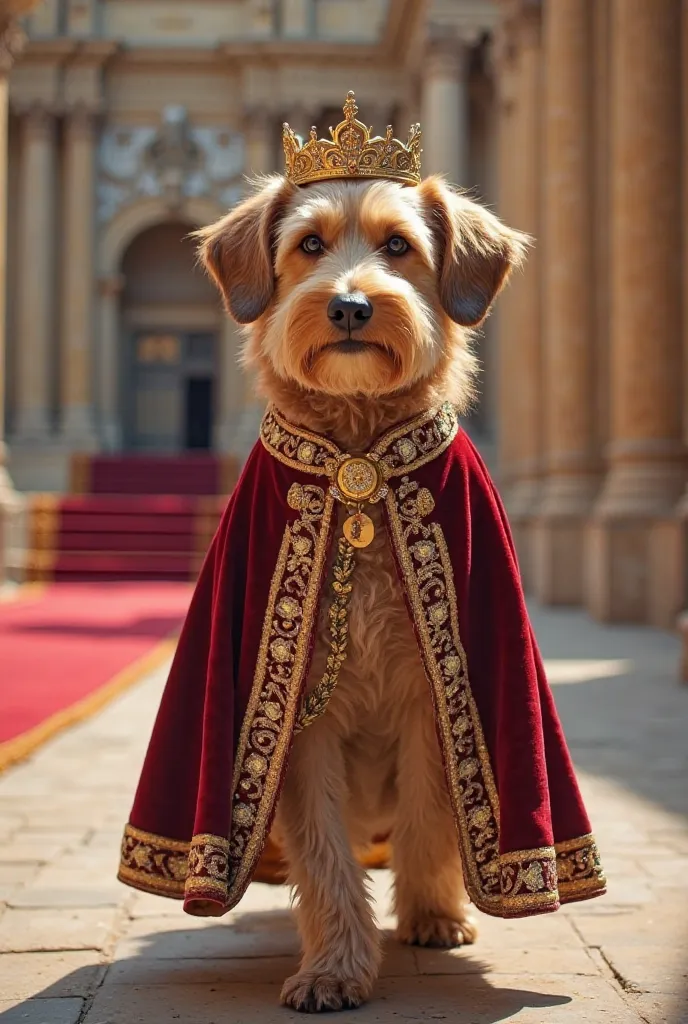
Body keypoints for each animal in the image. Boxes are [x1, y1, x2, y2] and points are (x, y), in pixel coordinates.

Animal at [196, 172, 528, 1011]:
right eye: (310, 243)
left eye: (398, 246)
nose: (349, 304)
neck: (359, 461)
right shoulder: (297, 722)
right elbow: (323, 855)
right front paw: (335, 967)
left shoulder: (433, 698)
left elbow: (429, 820)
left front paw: (434, 914)